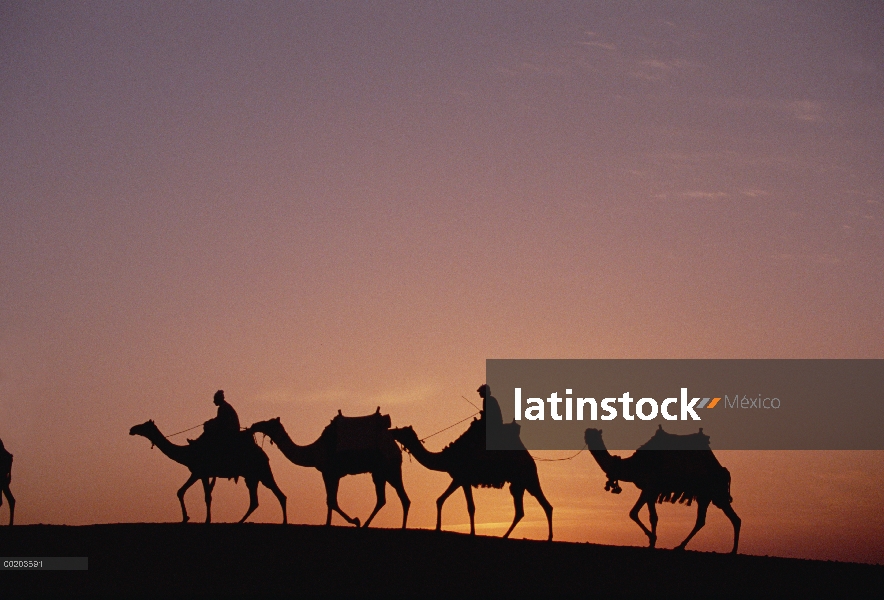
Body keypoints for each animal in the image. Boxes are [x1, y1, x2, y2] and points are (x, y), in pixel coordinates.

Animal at [129, 420, 286, 524]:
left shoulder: (201, 473)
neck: (188, 452)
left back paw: (282, 522)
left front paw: (206, 520)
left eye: (144, 425)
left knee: (278, 494)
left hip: (261, 471)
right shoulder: (197, 473)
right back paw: (240, 521)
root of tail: (263, 453)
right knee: (256, 500)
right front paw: (186, 518)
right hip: (252, 476)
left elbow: (206, 497)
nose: (132, 429)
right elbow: (181, 491)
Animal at [247, 418, 410, 528]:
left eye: (268, 423)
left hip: (389, 468)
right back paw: (368, 525)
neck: (313, 451)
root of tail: (394, 445)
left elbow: (331, 500)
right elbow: (331, 500)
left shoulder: (329, 472)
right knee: (388, 498)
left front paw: (354, 521)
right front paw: (332, 523)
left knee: (400, 498)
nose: (254, 425)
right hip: (380, 472)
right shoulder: (333, 474)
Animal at [390, 422, 548, 540]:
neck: (447, 458)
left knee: (544, 505)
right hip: (519, 484)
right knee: (525, 510)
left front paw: (472, 533)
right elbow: (440, 500)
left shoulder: (463, 479)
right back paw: (506, 536)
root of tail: (530, 458)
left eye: (402, 430)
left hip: (528, 477)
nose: (391, 431)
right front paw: (437, 528)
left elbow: (470, 507)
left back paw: (548, 538)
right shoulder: (459, 479)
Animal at [588, 426, 740, 552]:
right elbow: (639, 514)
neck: (632, 465)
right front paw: (651, 540)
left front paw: (652, 541)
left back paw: (731, 551)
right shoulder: (648, 490)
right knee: (706, 520)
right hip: (706, 495)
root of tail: (724, 471)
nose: (587, 433)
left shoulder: (651, 487)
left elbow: (648, 516)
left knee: (728, 518)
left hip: (716, 492)